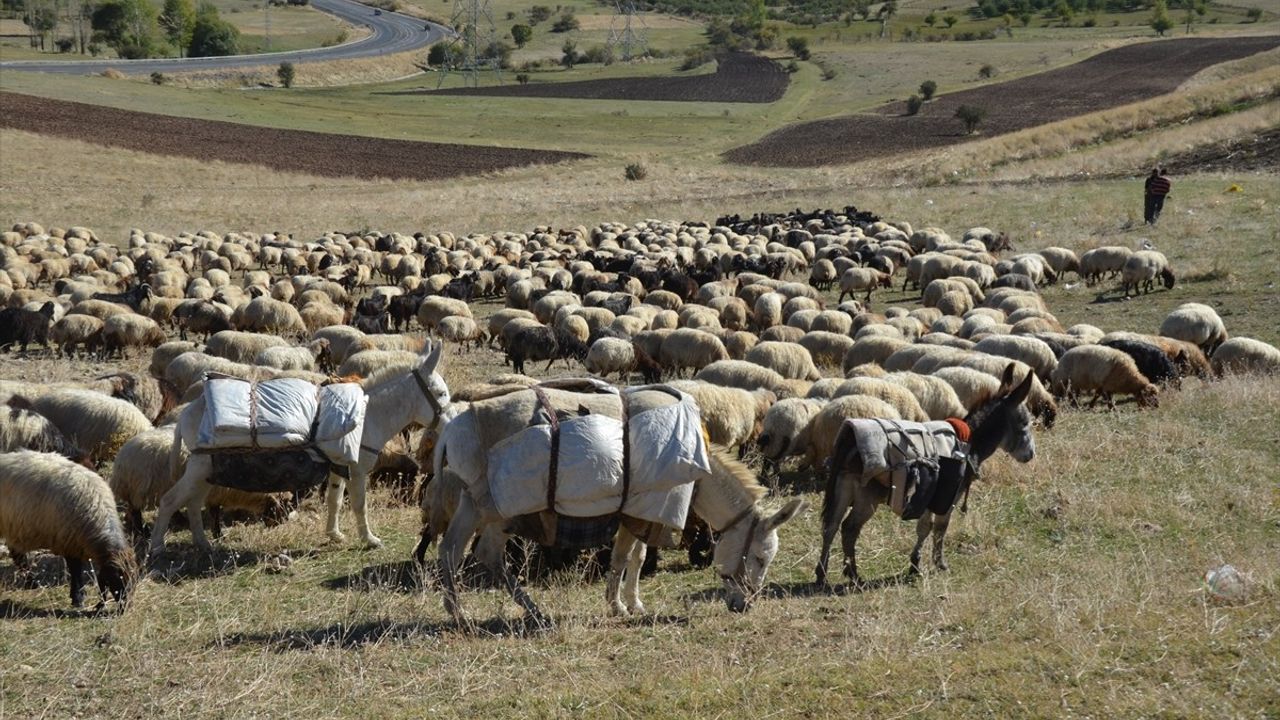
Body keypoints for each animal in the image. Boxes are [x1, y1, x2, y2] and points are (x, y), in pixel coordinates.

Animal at [0, 450, 136, 607]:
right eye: (117, 579)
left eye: (132, 581)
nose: (125, 608)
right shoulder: (68, 539)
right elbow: (75, 569)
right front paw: (78, 597)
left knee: (17, 555)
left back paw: (31, 583)